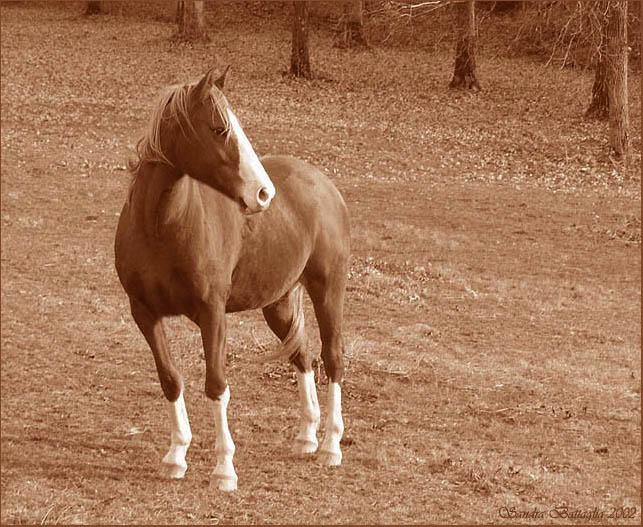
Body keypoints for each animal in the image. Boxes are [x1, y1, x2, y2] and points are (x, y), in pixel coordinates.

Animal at [113, 68, 350, 492]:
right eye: (220, 128)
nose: (264, 193)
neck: (161, 227)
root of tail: (322, 185)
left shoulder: (212, 315)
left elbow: (216, 385)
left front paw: (224, 469)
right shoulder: (144, 313)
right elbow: (170, 379)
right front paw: (176, 456)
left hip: (328, 291)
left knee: (333, 358)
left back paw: (330, 447)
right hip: (279, 304)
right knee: (302, 356)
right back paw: (306, 437)